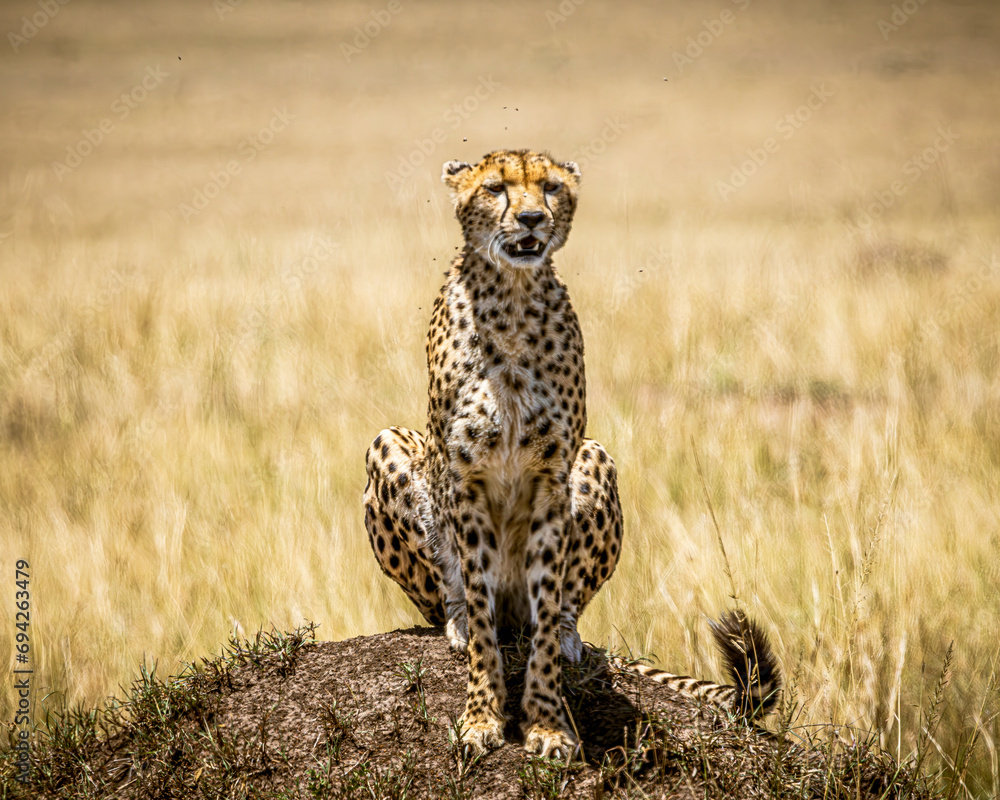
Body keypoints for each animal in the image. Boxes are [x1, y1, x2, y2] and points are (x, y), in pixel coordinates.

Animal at [363, 149, 780, 759]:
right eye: (495, 187)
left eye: (552, 187)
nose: (532, 218)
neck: (512, 298)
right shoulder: (465, 479)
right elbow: (482, 618)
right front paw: (482, 717)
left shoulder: (552, 474)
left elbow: (544, 613)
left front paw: (547, 724)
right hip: (387, 445)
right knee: (454, 599)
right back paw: (457, 619)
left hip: (595, 456)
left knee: (557, 607)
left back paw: (565, 633)